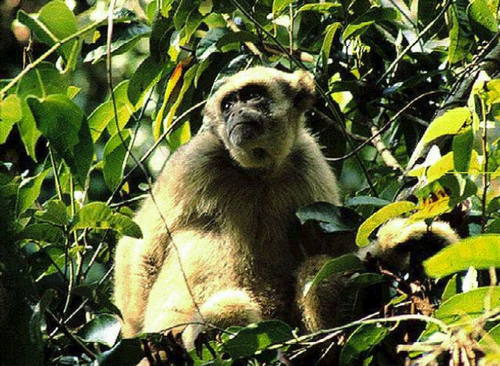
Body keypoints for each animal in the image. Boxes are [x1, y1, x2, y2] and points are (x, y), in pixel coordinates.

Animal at [112, 66, 458, 352]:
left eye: (252, 95)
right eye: (228, 104)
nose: (237, 112)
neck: (258, 173)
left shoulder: (306, 160)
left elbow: (335, 246)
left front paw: (395, 248)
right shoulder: (194, 159)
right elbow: (142, 248)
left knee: (317, 266)